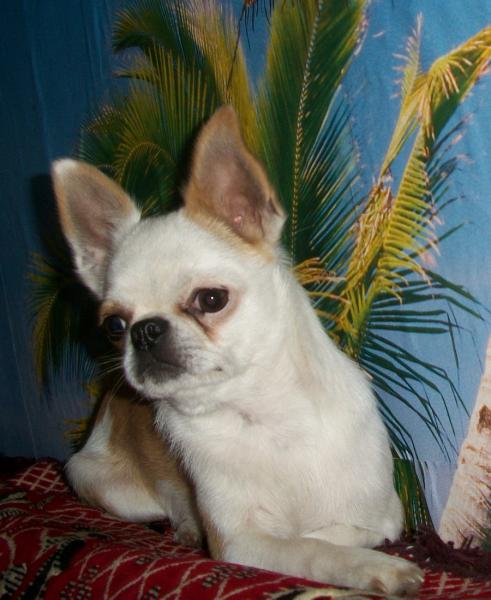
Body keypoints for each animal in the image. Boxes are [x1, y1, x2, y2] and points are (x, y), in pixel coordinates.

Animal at [53, 106, 424, 595]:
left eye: (211, 299)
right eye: (114, 326)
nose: (145, 331)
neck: (263, 415)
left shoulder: (385, 515)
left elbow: (331, 533)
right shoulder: (238, 541)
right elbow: (310, 547)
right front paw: (376, 568)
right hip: (93, 478)